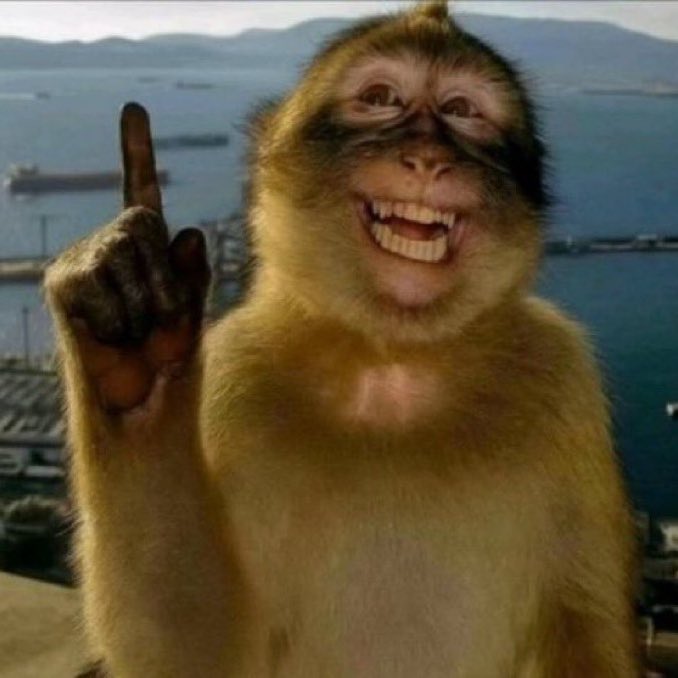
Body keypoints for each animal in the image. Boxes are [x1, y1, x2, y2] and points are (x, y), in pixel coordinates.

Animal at [45, 1, 641, 676]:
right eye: (381, 98)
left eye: (462, 110)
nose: (427, 158)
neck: (394, 358)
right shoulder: (237, 369)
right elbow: (201, 652)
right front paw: (135, 358)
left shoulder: (561, 376)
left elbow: (586, 633)